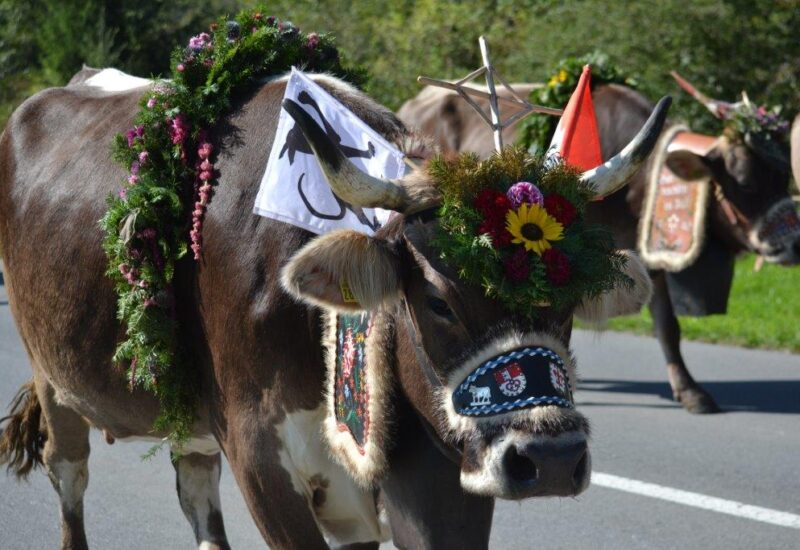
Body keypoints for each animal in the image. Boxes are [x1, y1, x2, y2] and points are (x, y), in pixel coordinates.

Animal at [0, 14, 668, 550]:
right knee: (69, 476)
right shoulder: (260, 456)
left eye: (570, 302)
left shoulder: (439, 476)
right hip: (53, 375)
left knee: (194, 487)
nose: (551, 458)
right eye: (437, 301)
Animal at [400, 68, 800, 414]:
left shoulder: (646, 253)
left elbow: (668, 325)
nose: (793, 243)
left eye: (784, 176)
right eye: (745, 182)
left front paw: (689, 390)